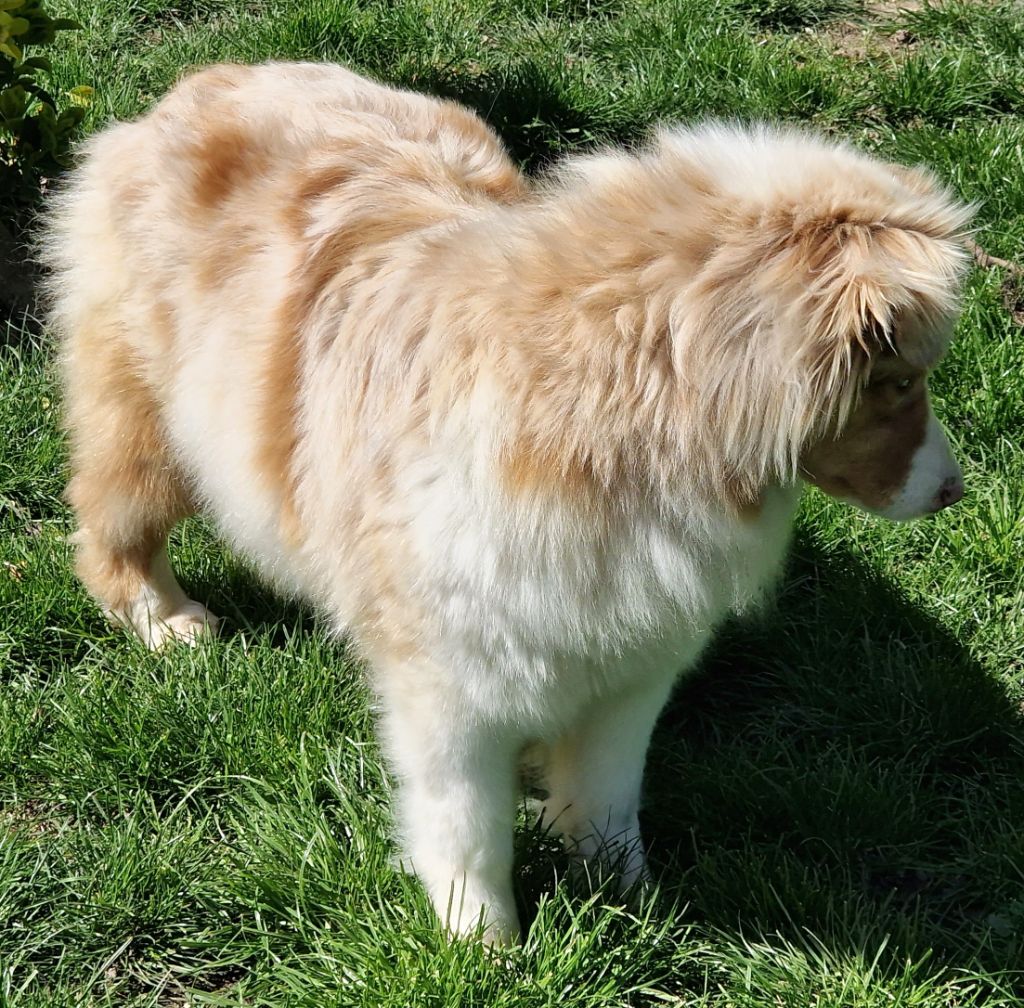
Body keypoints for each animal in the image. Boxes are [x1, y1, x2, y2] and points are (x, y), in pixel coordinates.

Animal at [44, 61, 973, 944]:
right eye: (898, 382)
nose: (954, 492)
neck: (610, 422)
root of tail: (208, 81)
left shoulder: (632, 664)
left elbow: (607, 797)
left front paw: (633, 907)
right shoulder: (451, 686)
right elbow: (468, 826)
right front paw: (483, 947)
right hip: (149, 424)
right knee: (109, 521)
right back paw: (162, 620)